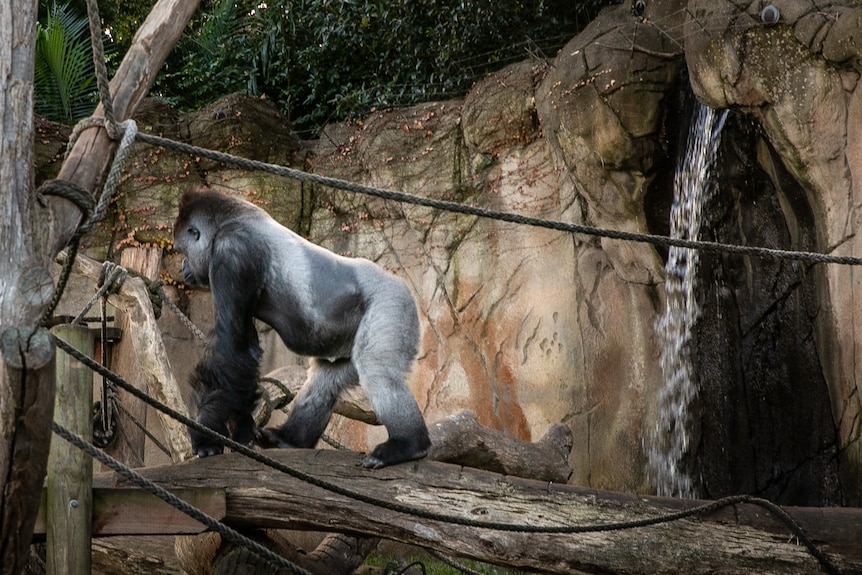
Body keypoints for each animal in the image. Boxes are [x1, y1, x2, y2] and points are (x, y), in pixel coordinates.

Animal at [172, 189, 432, 468]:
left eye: (182, 250)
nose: (183, 267)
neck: (229, 222)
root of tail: (404, 288)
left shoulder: (232, 253)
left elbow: (233, 347)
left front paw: (206, 434)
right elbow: (242, 351)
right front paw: (240, 427)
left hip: (392, 302)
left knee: (377, 369)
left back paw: (408, 444)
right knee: (327, 379)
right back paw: (290, 439)